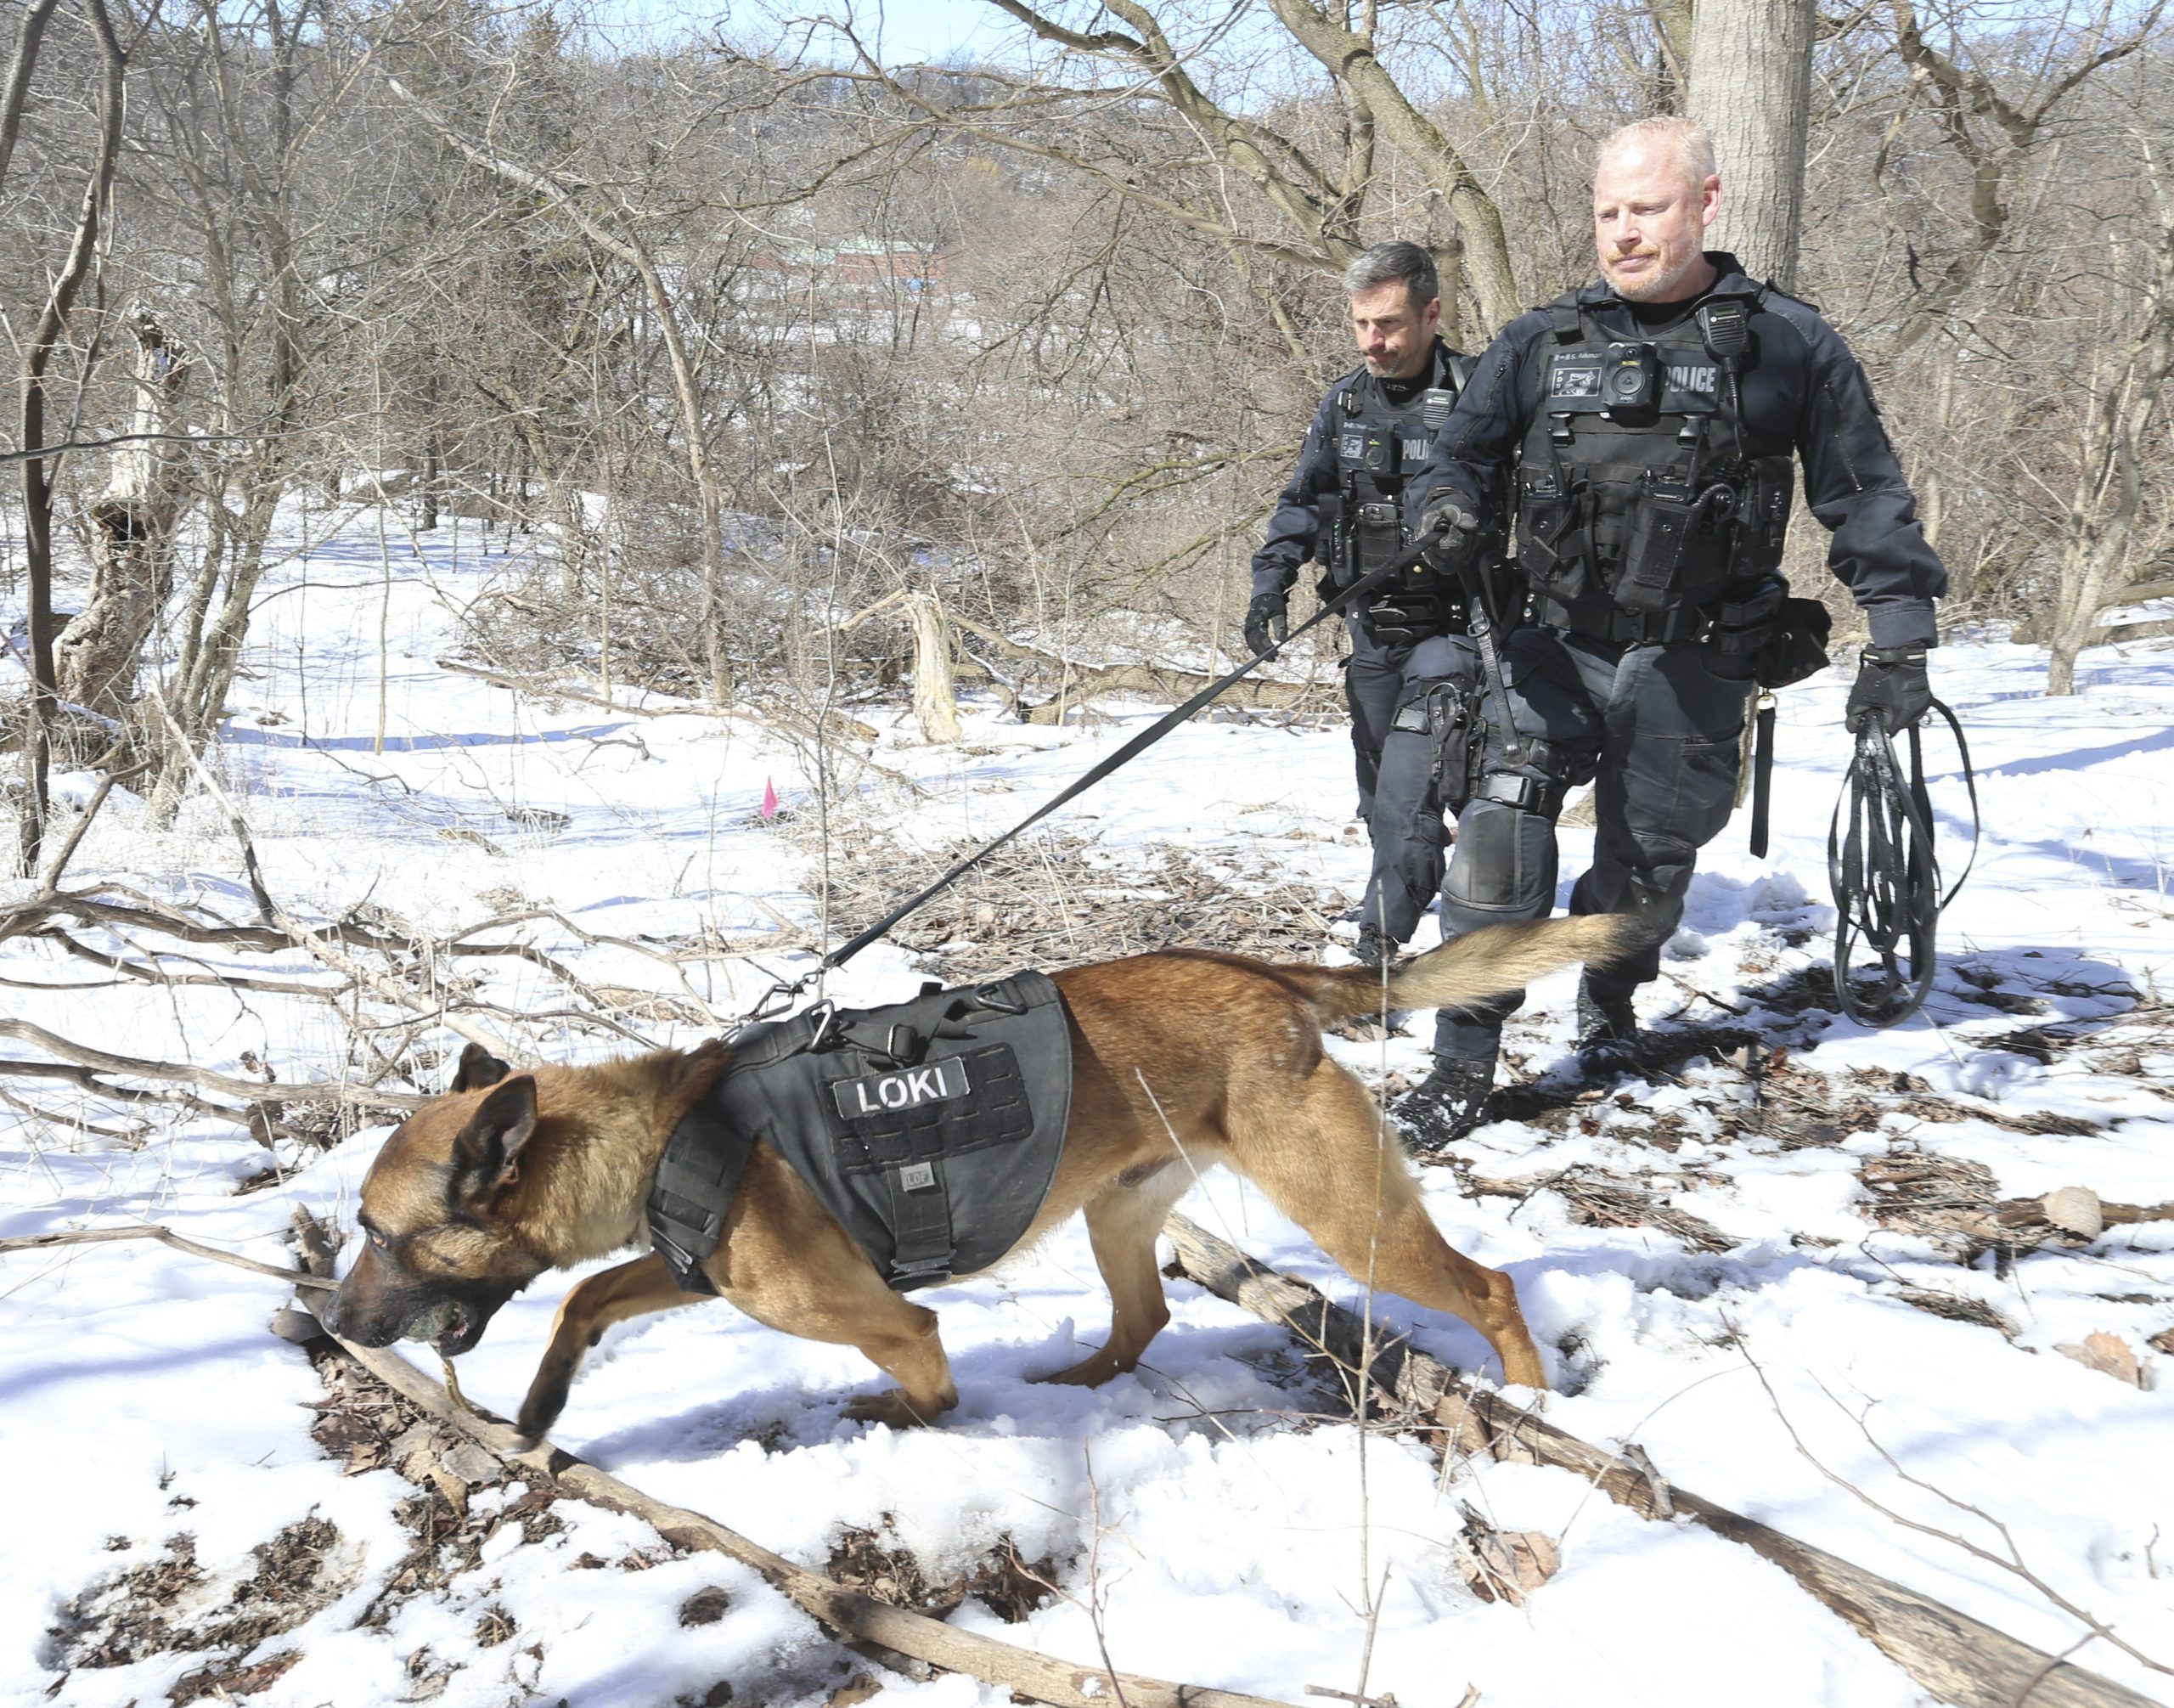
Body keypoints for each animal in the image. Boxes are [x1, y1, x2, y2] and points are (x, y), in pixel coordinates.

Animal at [326, 912, 1635, 1434]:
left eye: (381, 1235)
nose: (330, 1323)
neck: (665, 1128)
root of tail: (1259, 975)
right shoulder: (691, 1270)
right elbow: (591, 1297)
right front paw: (545, 1402)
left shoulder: (882, 1318)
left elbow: (924, 1381)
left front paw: (887, 1416)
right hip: (1121, 1217)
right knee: (1145, 1317)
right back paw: (1078, 1381)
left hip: (1348, 1213)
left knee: (1488, 1286)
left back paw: (1531, 1401)